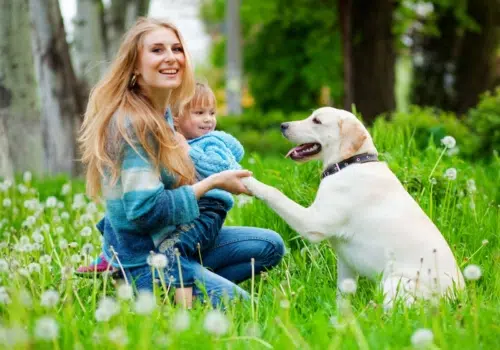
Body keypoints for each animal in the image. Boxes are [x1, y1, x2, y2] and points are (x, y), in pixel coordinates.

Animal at [242, 107, 464, 308]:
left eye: (317, 120)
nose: (283, 126)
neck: (349, 163)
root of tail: (458, 299)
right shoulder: (345, 264)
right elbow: (342, 297)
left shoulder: (312, 224)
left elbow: (274, 193)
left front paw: (248, 181)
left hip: (394, 283)